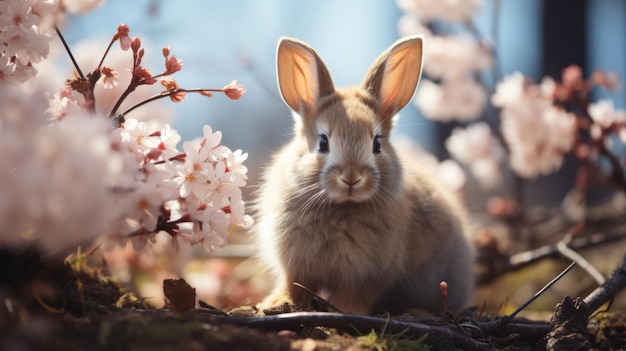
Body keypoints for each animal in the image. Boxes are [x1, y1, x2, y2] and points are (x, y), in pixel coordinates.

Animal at [254, 35, 472, 316]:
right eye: (323, 142)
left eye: (377, 144)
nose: (351, 177)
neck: (341, 207)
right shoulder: (296, 264)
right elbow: (293, 283)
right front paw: (277, 303)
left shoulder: (372, 272)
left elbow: (357, 294)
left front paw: (344, 311)